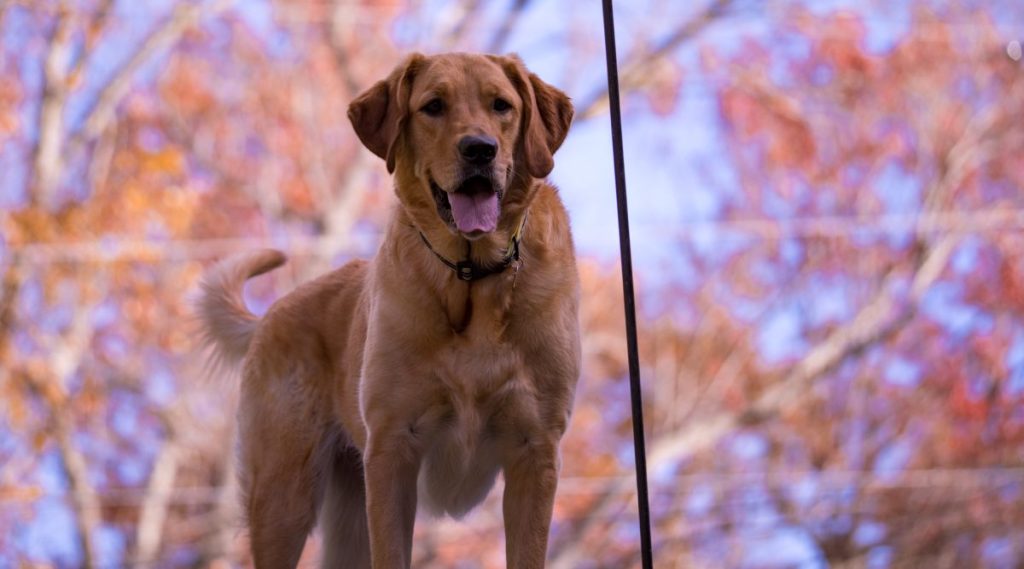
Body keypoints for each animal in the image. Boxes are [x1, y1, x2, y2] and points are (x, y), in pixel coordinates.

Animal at [198, 53, 581, 569]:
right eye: (433, 106)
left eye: (502, 105)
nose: (479, 150)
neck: (472, 279)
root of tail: (273, 313)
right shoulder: (392, 448)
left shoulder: (535, 451)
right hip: (284, 493)